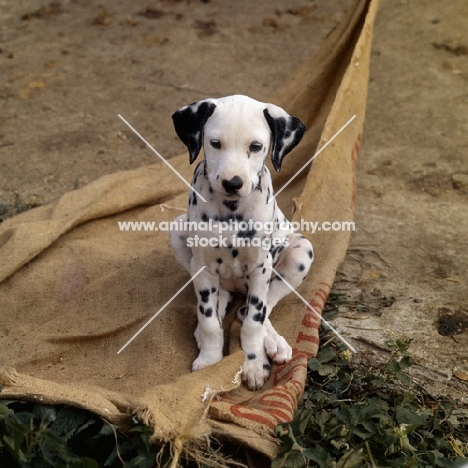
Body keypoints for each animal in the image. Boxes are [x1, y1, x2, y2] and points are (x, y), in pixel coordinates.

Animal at [170, 95, 312, 392]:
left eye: (256, 147)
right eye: (215, 143)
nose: (232, 183)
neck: (231, 210)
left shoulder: (260, 268)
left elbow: (253, 322)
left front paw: (254, 363)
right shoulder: (203, 267)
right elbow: (209, 320)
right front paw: (210, 361)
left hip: (301, 251)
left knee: (261, 306)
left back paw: (275, 342)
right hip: (177, 232)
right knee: (221, 299)